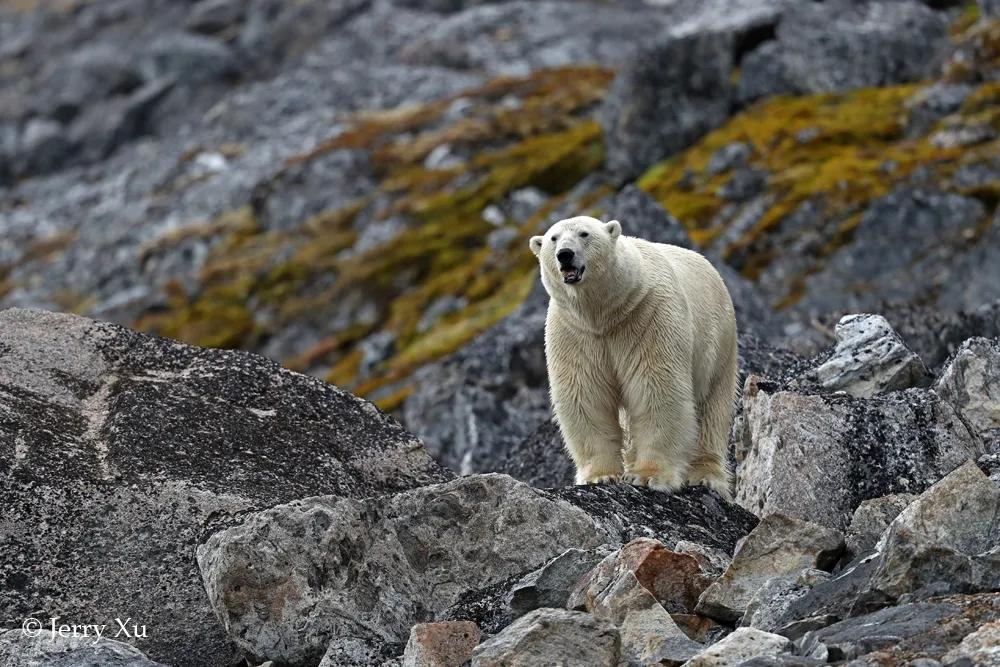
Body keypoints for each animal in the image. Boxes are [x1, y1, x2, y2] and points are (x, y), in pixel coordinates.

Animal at [532, 217, 736, 498]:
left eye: (584, 234)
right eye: (553, 238)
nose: (565, 254)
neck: (605, 314)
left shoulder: (647, 316)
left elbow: (656, 387)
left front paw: (648, 476)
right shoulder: (575, 332)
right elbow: (586, 395)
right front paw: (601, 476)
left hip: (718, 341)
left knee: (712, 407)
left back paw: (706, 476)